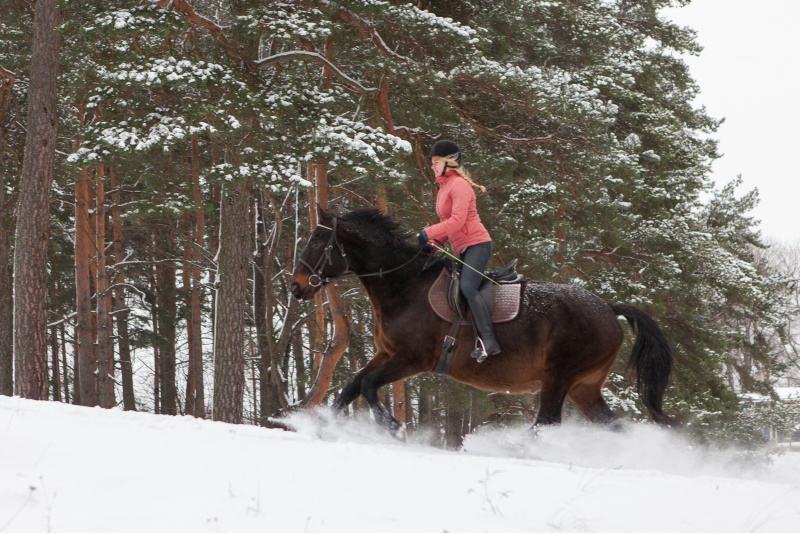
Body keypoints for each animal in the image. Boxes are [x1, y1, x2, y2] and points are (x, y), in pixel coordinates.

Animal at [290, 207, 672, 438]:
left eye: (317, 240)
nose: (295, 287)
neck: (405, 286)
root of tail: (608, 307)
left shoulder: (413, 359)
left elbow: (367, 386)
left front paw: (394, 428)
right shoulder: (387, 354)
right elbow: (352, 386)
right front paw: (324, 427)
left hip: (560, 377)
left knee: (546, 423)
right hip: (584, 387)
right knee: (610, 426)